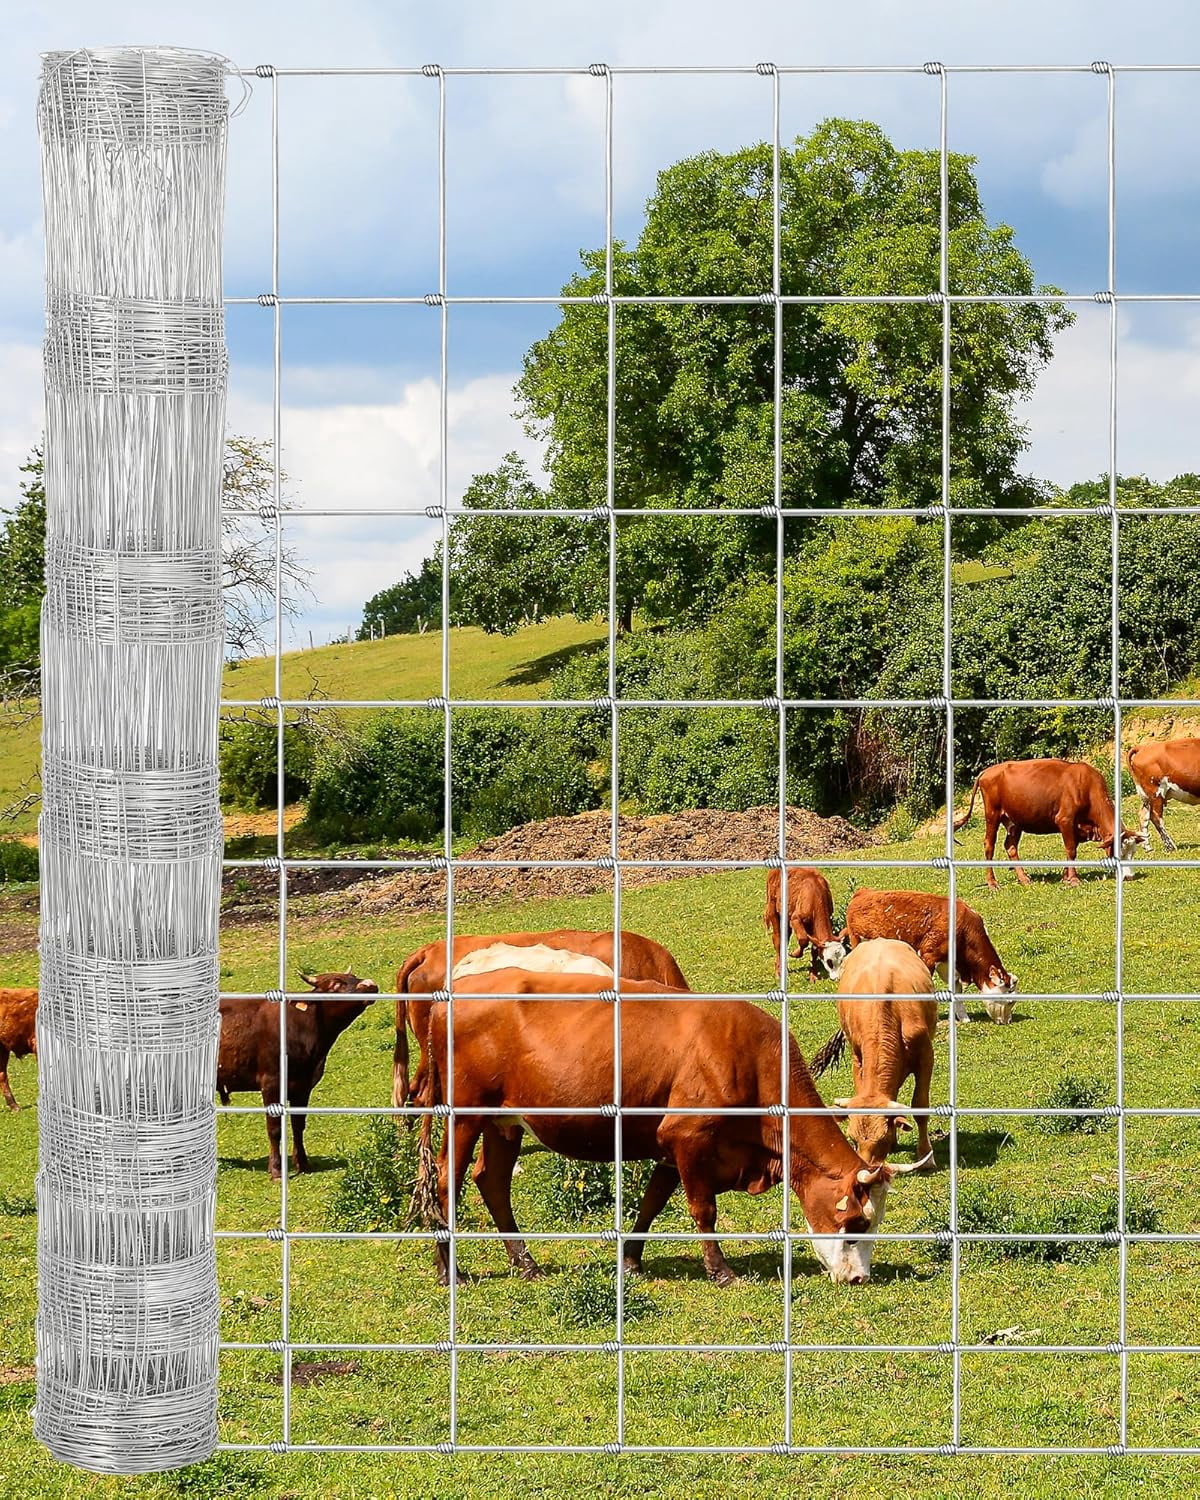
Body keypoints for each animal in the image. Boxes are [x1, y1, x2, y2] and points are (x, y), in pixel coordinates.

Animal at [218, 970, 378, 1179]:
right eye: (335, 984)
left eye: (354, 976)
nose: (370, 984)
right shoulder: (271, 1083)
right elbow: (274, 1128)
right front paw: (276, 1169)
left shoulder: (303, 1085)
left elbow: (298, 1124)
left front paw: (303, 1163)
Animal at [416, 968, 927, 1288]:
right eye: (855, 1224)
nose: (859, 1278)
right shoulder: (688, 1136)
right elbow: (703, 1210)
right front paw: (721, 1271)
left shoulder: (670, 1145)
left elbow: (652, 1202)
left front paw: (630, 1261)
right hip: (465, 1115)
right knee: (445, 1184)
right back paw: (449, 1270)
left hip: (505, 1122)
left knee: (492, 1181)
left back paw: (525, 1263)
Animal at [810, 938, 938, 1168]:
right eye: (852, 1139)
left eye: (882, 1139)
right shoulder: (857, 1056)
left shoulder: (926, 1056)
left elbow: (920, 1105)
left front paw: (926, 1155)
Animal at [842, 888, 1017, 1024]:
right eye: (1009, 1001)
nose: (1008, 1021)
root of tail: (863, 892)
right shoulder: (928, 956)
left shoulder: (949, 965)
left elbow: (956, 990)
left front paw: (964, 1018)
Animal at [953, 758, 1146, 888]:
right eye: (1119, 852)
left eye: (1133, 852)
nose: (1129, 877)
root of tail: (987, 771)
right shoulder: (1065, 819)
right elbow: (1071, 850)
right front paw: (1073, 879)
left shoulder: (1075, 826)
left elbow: (1070, 850)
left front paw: (1065, 876)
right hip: (992, 814)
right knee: (989, 845)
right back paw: (992, 883)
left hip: (1014, 821)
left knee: (1011, 846)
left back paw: (1024, 879)